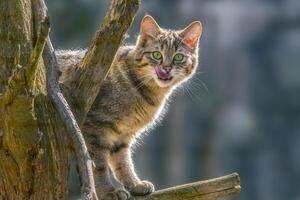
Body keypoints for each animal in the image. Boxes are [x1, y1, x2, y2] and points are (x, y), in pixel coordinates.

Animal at [56, 15, 203, 200]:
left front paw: (135, 184)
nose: (166, 68)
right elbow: (99, 165)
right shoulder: (94, 129)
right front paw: (108, 191)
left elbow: (123, 163)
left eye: (178, 57)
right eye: (157, 54)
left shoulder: (123, 135)